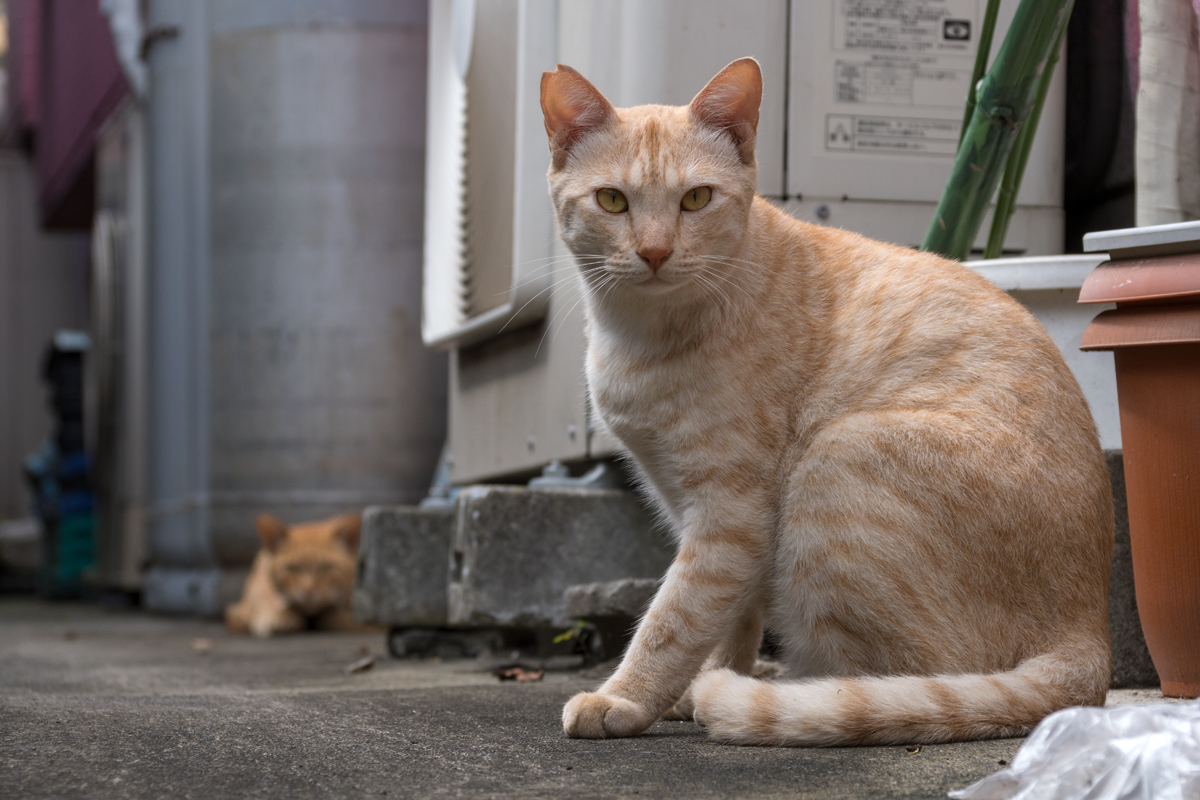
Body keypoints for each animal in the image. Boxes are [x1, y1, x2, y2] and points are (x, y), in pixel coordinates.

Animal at [544, 59, 1113, 748]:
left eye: (696, 199)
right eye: (612, 200)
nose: (654, 252)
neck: (638, 336)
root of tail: (1092, 630)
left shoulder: (729, 512)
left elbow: (674, 617)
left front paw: (626, 698)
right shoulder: (690, 505)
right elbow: (726, 616)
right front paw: (694, 684)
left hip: (835, 456)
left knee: (899, 680)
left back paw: (791, 694)